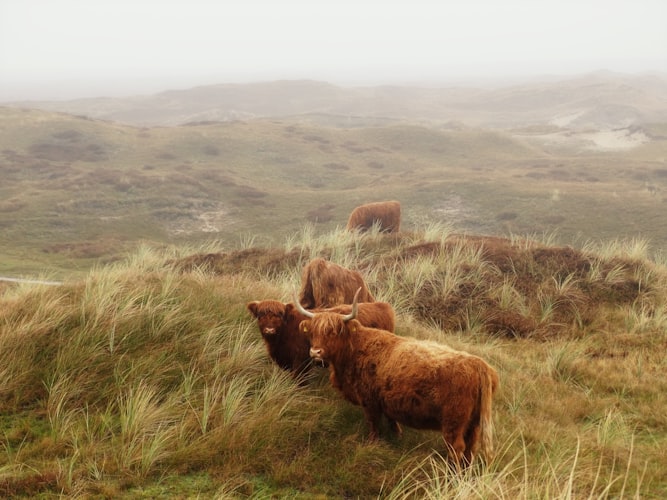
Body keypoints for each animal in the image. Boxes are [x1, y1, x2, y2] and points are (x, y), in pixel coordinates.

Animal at [294, 290, 498, 464]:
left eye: (333, 331)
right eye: (313, 331)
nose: (315, 352)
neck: (353, 350)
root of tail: (479, 364)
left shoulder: (369, 401)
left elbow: (374, 425)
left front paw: (373, 443)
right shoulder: (386, 400)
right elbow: (391, 419)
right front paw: (397, 434)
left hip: (453, 423)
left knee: (457, 449)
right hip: (473, 424)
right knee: (470, 449)